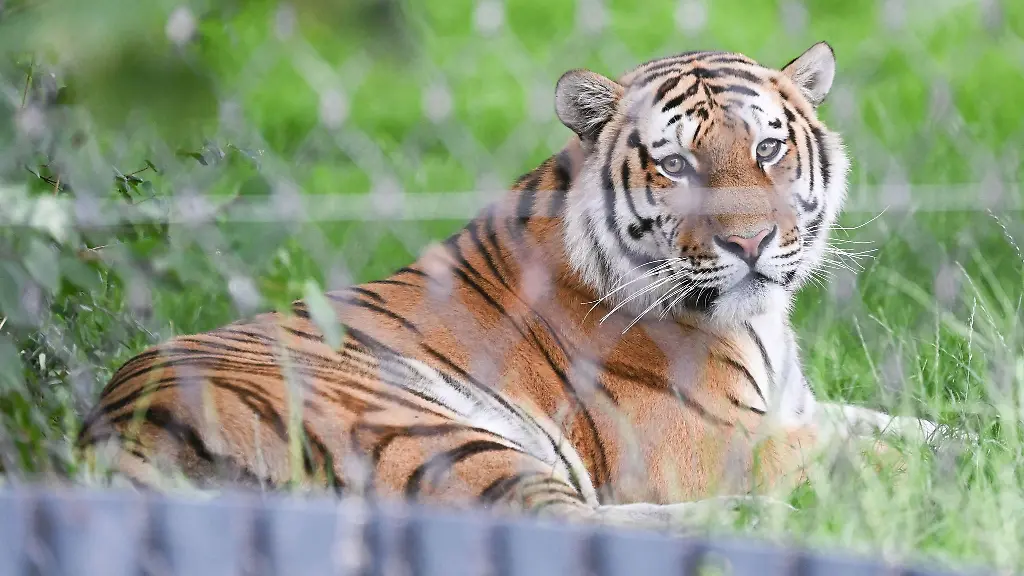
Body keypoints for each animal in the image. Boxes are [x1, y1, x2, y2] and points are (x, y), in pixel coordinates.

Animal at [76, 41, 949, 533]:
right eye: (675, 165)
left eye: (768, 149)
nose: (751, 244)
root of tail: (110, 437)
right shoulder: (717, 439)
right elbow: (873, 456)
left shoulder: (795, 408)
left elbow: (916, 426)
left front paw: (960, 441)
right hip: (423, 429)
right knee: (560, 527)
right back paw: (757, 522)